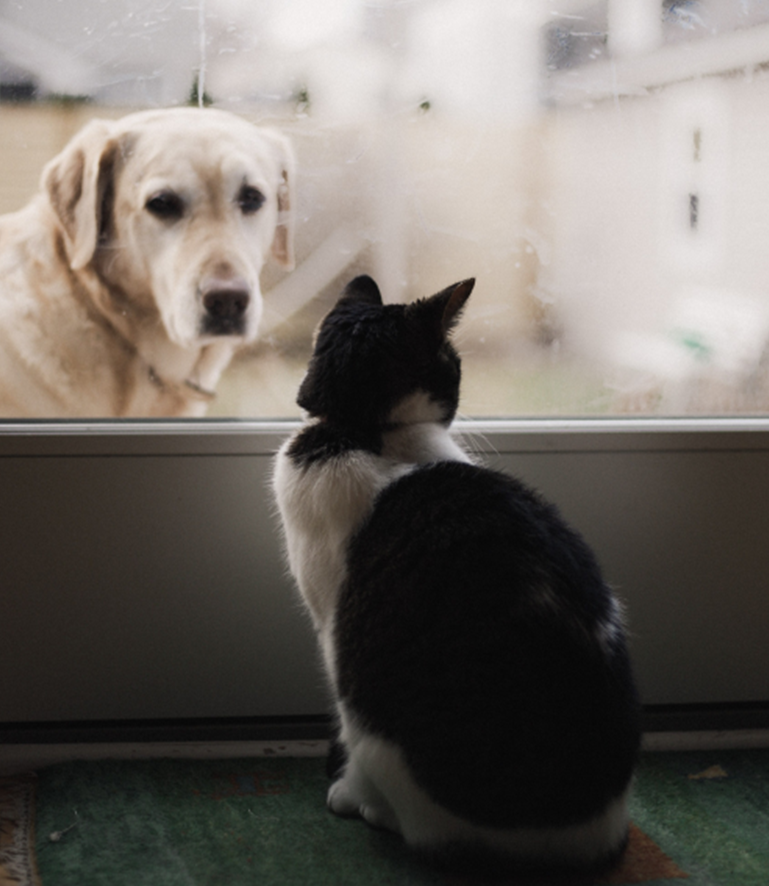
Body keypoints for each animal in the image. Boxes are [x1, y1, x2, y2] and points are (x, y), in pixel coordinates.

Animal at [272, 276, 640, 876]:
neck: (367, 431)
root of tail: (583, 842)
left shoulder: (331, 627)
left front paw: (347, 793)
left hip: (372, 712)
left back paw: (374, 809)